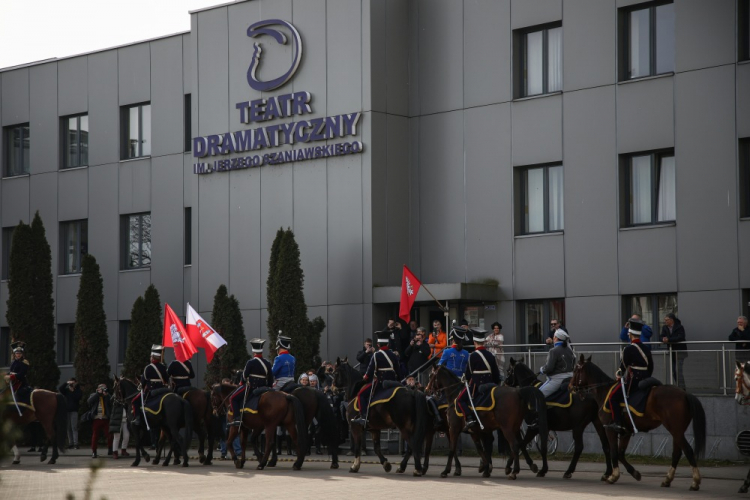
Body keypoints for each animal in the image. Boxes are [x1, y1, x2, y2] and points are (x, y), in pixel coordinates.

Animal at [572, 354, 708, 490]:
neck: (604, 391)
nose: (570, 386)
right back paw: (667, 480)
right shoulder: (626, 432)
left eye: (576, 370)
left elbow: (614, 452)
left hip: (675, 430)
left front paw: (613, 476)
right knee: (677, 453)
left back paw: (695, 482)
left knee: (688, 450)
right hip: (677, 431)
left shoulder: (610, 429)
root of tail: (685, 393)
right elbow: (620, 453)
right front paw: (634, 473)